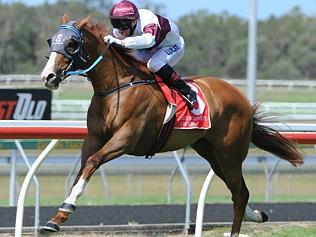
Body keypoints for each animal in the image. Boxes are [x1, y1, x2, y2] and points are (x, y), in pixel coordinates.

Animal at [40, 15, 302, 236]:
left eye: (72, 43)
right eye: (51, 41)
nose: (48, 76)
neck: (117, 87)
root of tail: (241, 98)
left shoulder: (125, 138)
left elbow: (93, 162)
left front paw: (67, 206)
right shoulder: (94, 137)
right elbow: (83, 168)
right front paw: (56, 218)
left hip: (230, 152)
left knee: (239, 193)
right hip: (210, 151)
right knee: (238, 190)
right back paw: (256, 214)